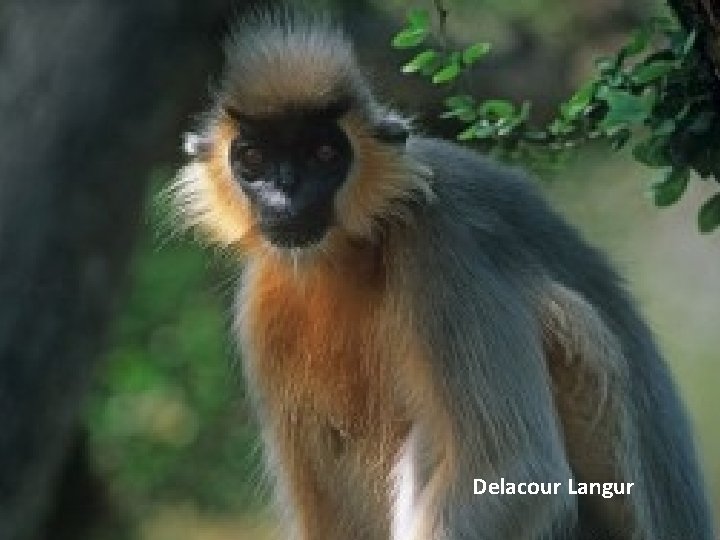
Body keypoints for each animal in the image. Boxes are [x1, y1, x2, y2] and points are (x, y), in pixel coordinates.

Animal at [172, 10, 716, 540]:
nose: (285, 196)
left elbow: (516, 471)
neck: (354, 251)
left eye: (322, 154)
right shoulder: (264, 300)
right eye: (253, 158)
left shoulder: (444, 238)